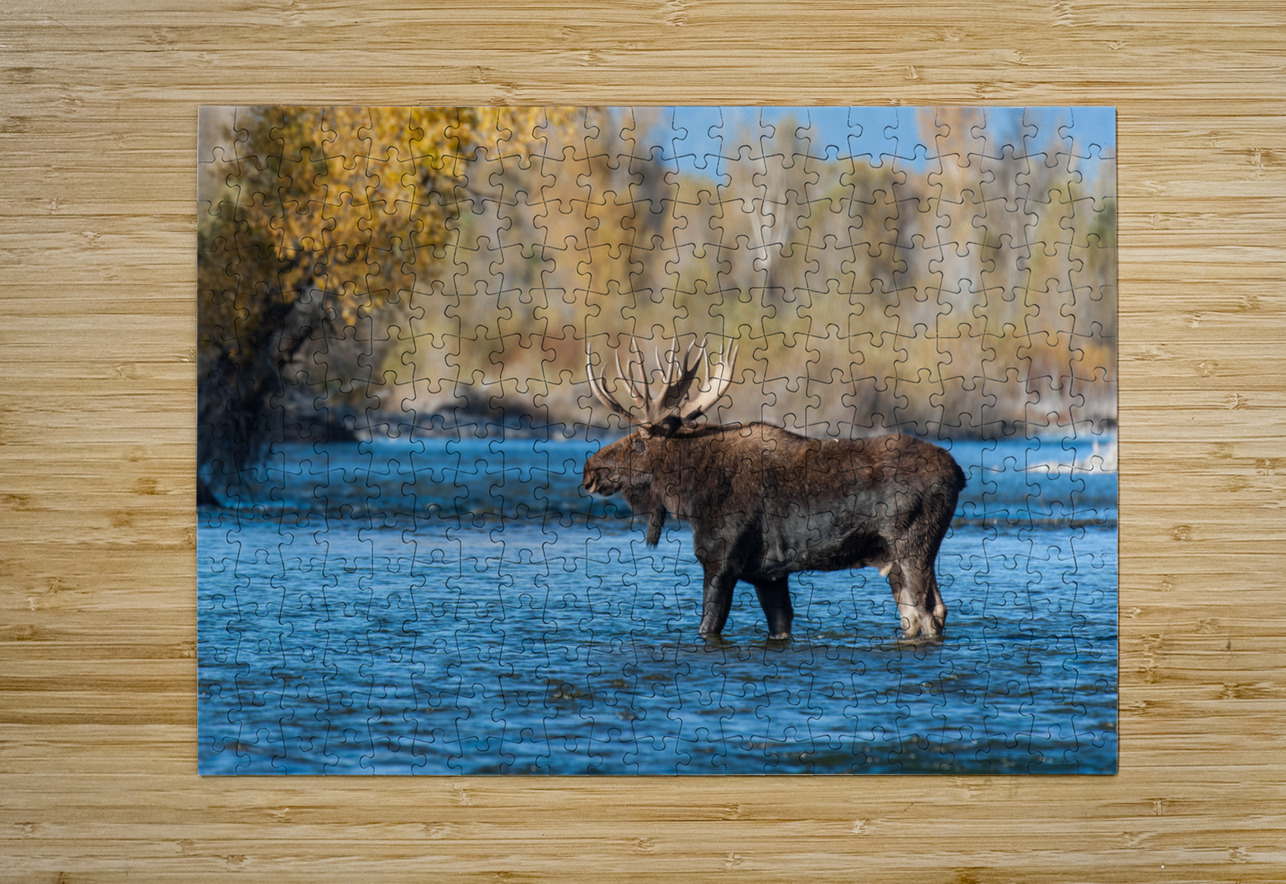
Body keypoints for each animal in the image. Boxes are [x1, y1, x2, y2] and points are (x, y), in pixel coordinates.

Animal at [581, 335, 966, 641]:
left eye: (639, 443)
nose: (589, 470)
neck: (690, 496)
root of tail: (959, 474)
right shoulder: (769, 575)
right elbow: (780, 626)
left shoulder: (720, 561)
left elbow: (708, 627)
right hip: (893, 560)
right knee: (917, 615)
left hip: (913, 547)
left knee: (931, 612)